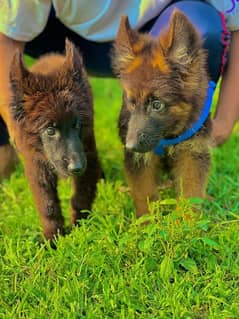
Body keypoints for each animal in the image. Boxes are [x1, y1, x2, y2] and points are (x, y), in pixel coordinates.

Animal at [8, 39, 101, 240]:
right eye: (50, 130)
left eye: (77, 124)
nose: (76, 168)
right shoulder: (35, 165)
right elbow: (47, 204)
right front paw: (52, 238)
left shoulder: (88, 153)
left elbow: (81, 196)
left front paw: (79, 230)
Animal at [113, 10, 212, 216]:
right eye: (131, 103)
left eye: (157, 105)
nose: (129, 146)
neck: (167, 136)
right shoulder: (139, 161)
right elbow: (145, 195)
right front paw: (147, 222)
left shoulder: (193, 153)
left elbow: (191, 195)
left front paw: (187, 222)